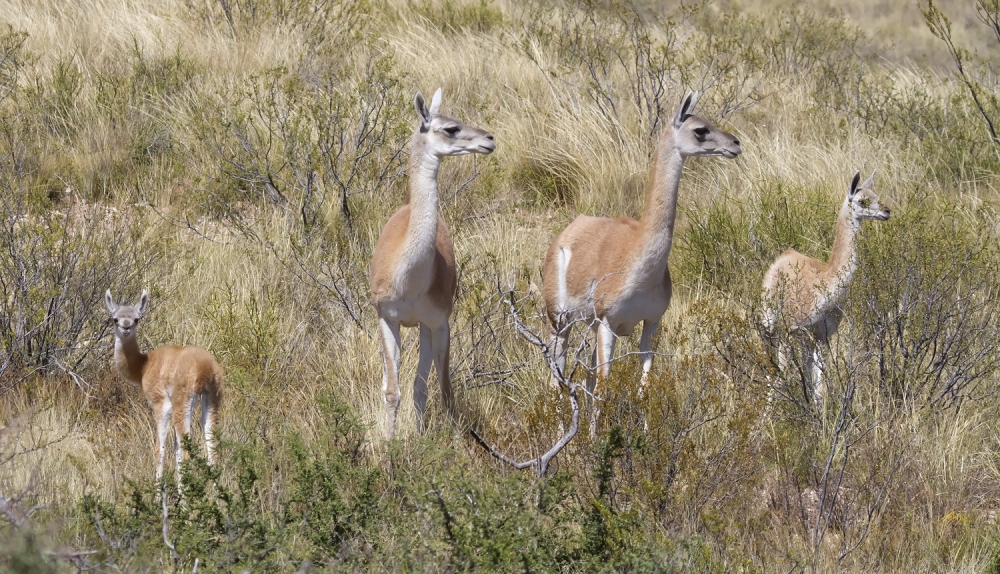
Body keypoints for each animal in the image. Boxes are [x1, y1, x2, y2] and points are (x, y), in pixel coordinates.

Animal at [105, 290, 223, 484]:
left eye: (136, 318)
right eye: (115, 318)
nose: (126, 327)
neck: (144, 366)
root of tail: (205, 367)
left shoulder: (161, 404)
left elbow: (159, 451)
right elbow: (174, 451)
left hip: (182, 402)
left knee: (186, 452)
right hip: (213, 398)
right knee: (212, 451)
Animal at [760, 171, 896, 404]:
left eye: (877, 195)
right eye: (862, 200)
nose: (886, 211)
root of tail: (785, 256)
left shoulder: (821, 336)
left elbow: (819, 387)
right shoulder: (788, 330)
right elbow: (780, 380)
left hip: (803, 339)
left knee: (804, 370)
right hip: (769, 326)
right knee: (772, 370)